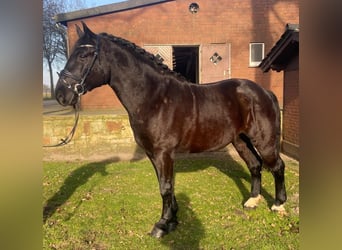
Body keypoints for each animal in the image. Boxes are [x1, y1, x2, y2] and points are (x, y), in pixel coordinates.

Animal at [55, 22, 286, 237]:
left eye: (83, 55)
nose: (60, 94)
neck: (154, 97)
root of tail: (265, 92)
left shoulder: (163, 153)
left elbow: (165, 187)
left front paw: (162, 225)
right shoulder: (154, 154)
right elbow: (167, 185)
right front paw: (173, 219)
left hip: (264, 141)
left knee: (277, 166)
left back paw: (278, 205)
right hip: (240, 141)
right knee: (255, 165)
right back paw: (252, 201)